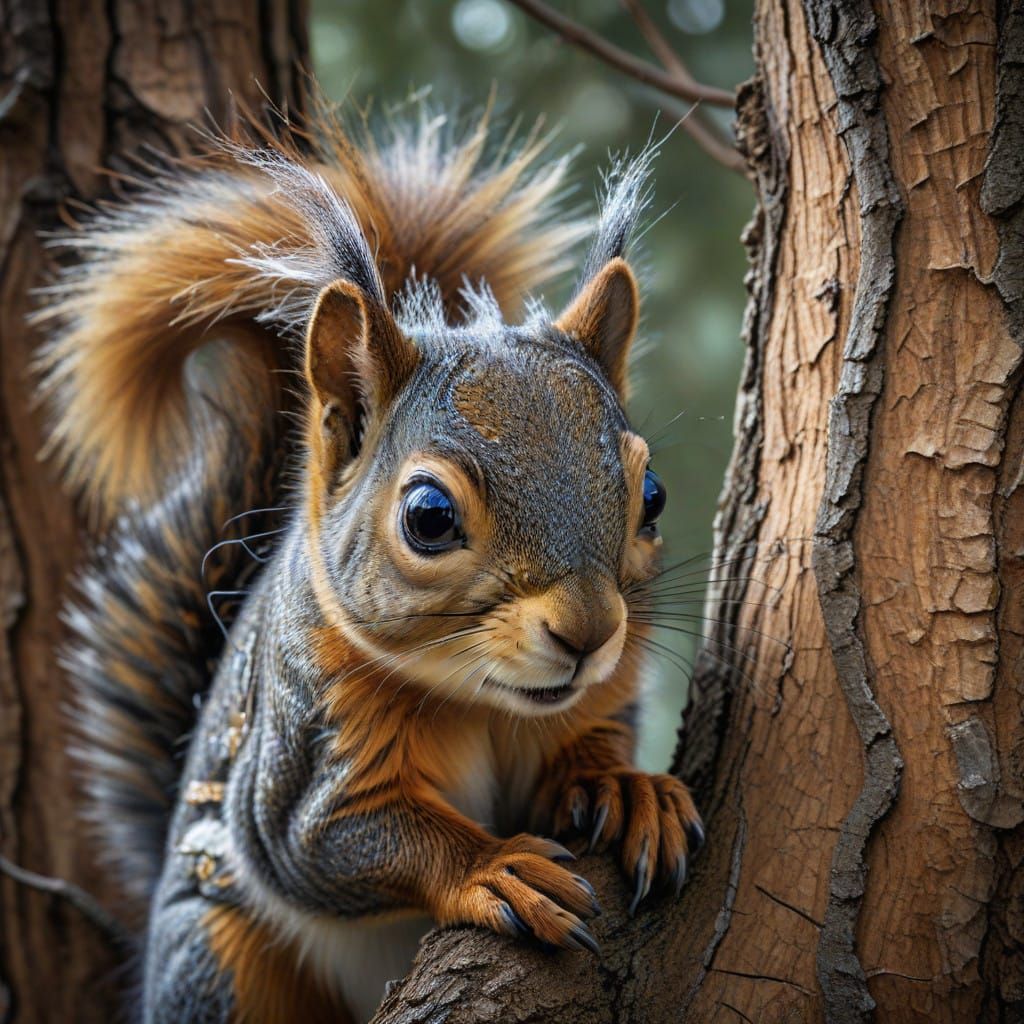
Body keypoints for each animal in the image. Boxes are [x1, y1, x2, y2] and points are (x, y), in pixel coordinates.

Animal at [36, 97, 704, 1024]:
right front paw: (489, 865)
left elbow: (588, 749)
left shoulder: (593, 701)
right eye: (428, 517)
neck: (485, 705)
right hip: (221, 960)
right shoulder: (298, 756)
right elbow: (338, 838)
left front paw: (625, 787)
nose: (589, 633)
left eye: (653, 496)